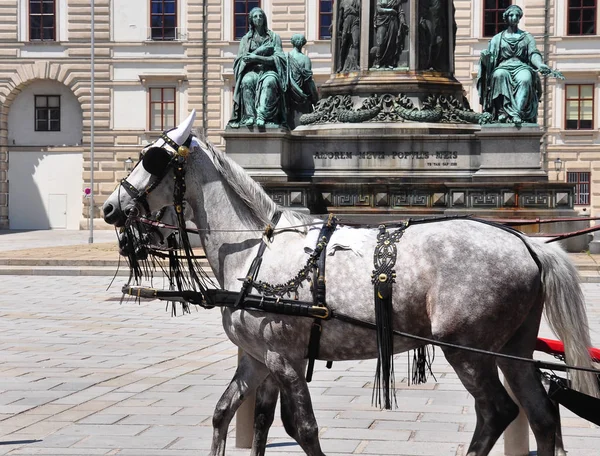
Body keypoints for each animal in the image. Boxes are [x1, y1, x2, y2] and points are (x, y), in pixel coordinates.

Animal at [104, 111, 600, 456]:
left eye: (152, 158)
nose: (110, 207)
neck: (254, 249)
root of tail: (528, 242)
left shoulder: (283, 358)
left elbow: (301, 428)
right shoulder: (256, 359)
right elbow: (235, 416)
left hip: (468, 350)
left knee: (497, 412)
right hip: (514, 349)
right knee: (542, 414)